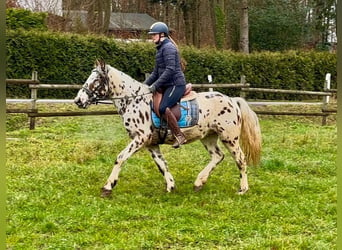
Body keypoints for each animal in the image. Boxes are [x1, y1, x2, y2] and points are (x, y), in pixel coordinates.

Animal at [75, 59, 262, 197]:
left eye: (96, 80)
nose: (78, 100)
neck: (133, 100)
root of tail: (232, 100)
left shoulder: (140, 138)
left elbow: (120, 158)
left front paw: (108, 186)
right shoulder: (151, 143)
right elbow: (161, 164)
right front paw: (171, 186)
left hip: (229, 138)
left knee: (240, 159)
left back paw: (243, 189)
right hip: (208, 136)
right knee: (217, 156)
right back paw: (199, 182)